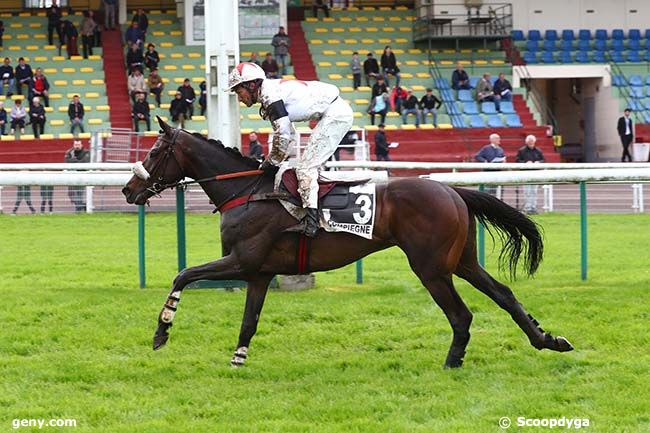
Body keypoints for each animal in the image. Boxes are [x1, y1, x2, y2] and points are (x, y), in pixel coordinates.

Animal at [123, 118, 572, 368]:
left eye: (156, 151)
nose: (128, 190)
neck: (247, 191)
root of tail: (450, 189)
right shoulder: (260, 272)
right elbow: (249, 320)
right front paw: (237, 360)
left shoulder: (241, 260)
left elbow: (183, 274)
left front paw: (161, 332)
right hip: (461, 260)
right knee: (504, 294)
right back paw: (549, 340)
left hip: (430, 267)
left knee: (461, 315)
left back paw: (452, 361)